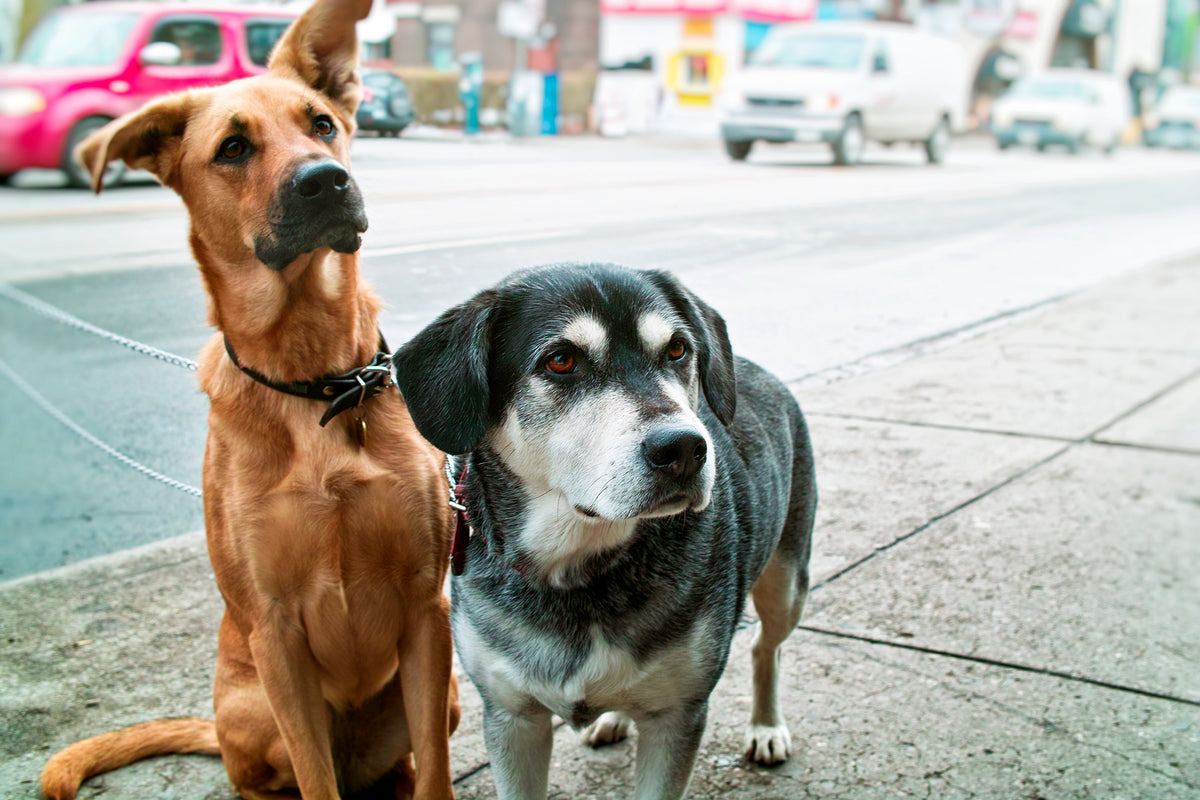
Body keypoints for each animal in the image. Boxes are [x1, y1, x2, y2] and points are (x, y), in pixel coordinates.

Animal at [36, 0, 458, 796]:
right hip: (249, 705)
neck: (315, 382)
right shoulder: (276, 635)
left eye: (321, 123)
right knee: (271, 776)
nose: (326, 181)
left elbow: (438, 777)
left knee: (406, 763)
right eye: (233, 148)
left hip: (435, 694)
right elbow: (314, 777)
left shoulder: (427, 608)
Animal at [393, 266, 816, 800]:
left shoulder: (677, 715)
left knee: (766, 645)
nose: (684, 449)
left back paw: (765, 726)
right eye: (561, 360)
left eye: (677, 349)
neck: (579, 568)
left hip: (787, 581)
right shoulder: (511, 716)